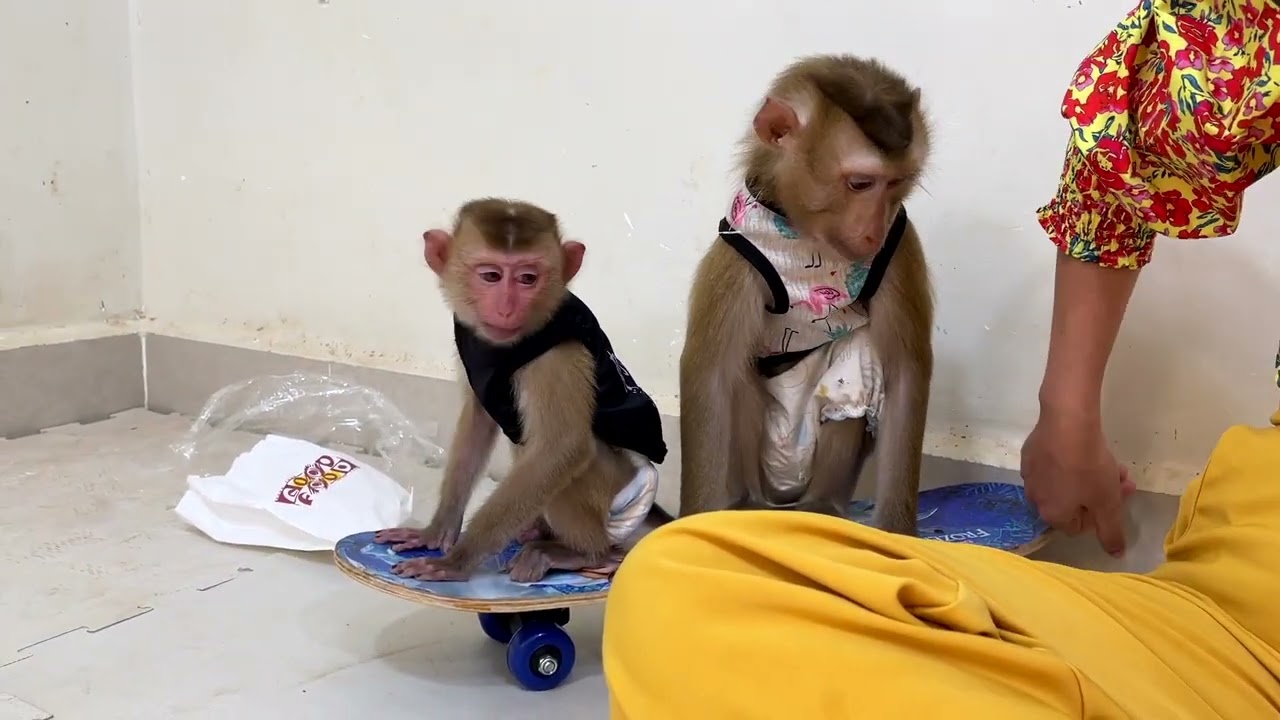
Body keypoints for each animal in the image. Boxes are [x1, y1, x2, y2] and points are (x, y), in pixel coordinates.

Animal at [374, 198, 669, 583]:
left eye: (528, 278)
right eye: (491, 276)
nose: (506, 307)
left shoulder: (556, 357)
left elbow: (562, 448)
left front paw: (456, 561)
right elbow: (477, 421)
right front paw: (436, 532)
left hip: (615, 488)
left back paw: (584, 552)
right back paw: (540, 532)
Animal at [677, 54, 933, 535]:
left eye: (897, 183)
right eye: (860, 184)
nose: (874, 231)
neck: (807, 235)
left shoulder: (899, 242)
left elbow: (906, 372)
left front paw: (897, 534)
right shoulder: (738, 256)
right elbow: (712, 374)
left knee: (860, 356)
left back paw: (823, 505)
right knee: (739, 375)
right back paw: (746, 503)